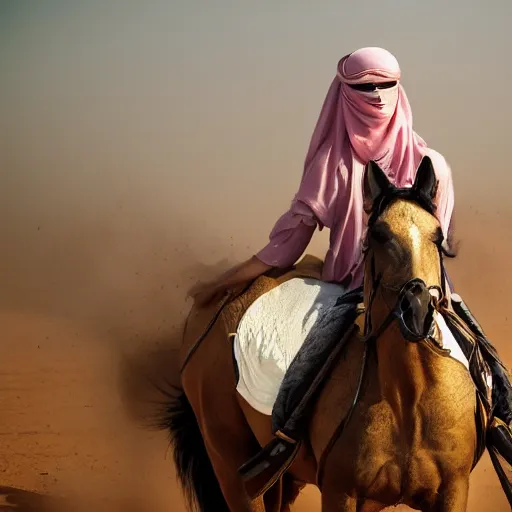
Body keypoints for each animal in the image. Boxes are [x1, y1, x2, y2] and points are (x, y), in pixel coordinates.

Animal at [160, 157, 488, 512]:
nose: (417, 309)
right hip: (231, 464)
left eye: (438, 236)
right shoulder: (339, 492)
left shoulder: (451, 491)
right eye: (378, 234)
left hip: (282, 479)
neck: (409, 398)